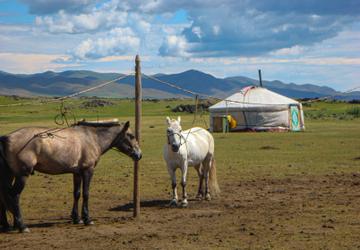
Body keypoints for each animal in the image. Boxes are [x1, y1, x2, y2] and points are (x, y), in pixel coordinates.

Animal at [0, 119, 141, 232]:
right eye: (131, 135)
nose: (139, 155)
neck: (92, 138)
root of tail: (6, 137)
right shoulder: (88, 171)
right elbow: (86, 194)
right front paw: (87, 219)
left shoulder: (77, 173)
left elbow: (77, 194)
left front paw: (76, 218)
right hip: (22, 176)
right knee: (14, 196)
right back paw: (21, 226)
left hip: (10, 175)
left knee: (4, 197)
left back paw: (7, 226)